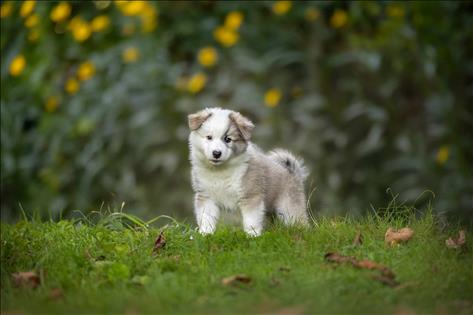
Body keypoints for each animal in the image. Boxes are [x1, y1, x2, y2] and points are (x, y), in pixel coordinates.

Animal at [186, 107, 308, 236]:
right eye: (209, 137)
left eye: (228, 139)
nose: (216, 153)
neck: (220, 170)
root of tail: (292, 172)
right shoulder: (206, 196)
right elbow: (206, 217)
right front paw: (205, 234)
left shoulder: (251, 196)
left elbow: (251, 220)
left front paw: (252, 236)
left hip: (289, 207)